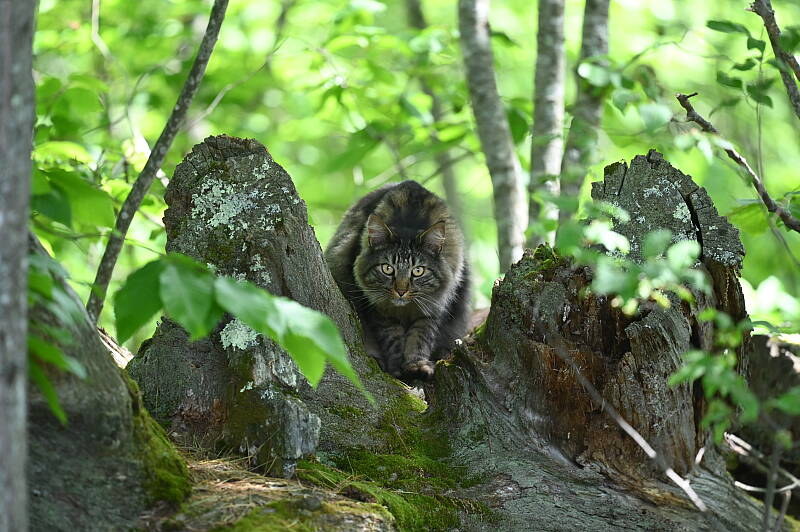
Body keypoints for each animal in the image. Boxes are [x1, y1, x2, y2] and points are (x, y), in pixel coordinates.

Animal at [325, 180, 470, 381]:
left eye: (418, 271)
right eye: (387, 269)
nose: (401, 290)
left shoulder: (432, 310)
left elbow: (420, 339)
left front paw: (417, 365)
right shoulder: (380, 311)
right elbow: (393, 340)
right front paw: (397, 370)